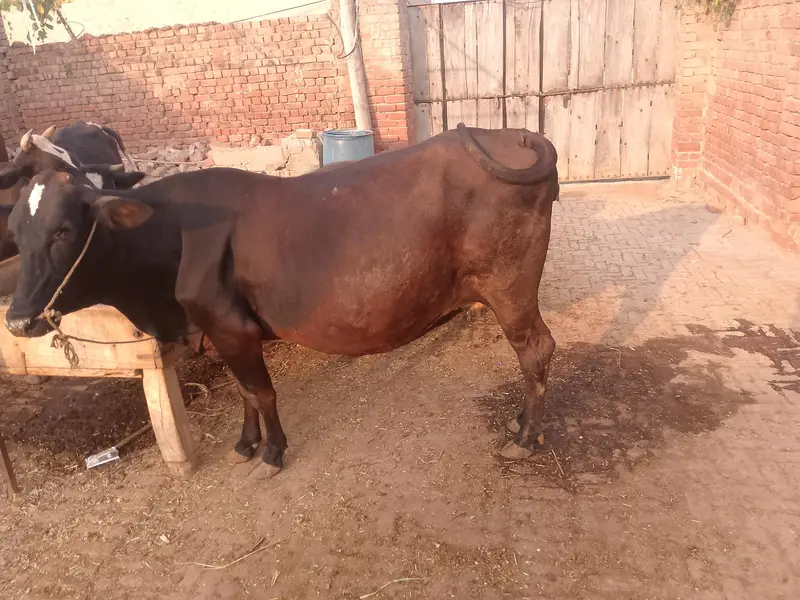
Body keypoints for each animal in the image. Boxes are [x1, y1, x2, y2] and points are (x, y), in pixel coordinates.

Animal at [3, 124, 560, 478]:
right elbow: (245, 393)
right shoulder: (220, 332)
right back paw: (519, 423)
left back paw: (525, 439)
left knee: (536, 350)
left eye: (64, 230)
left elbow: (262, 392)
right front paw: (244, 445)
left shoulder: (233, 328)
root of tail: (514, 133)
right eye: (16, 229)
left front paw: (272, 453)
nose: (18, 320)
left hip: (509, 286)